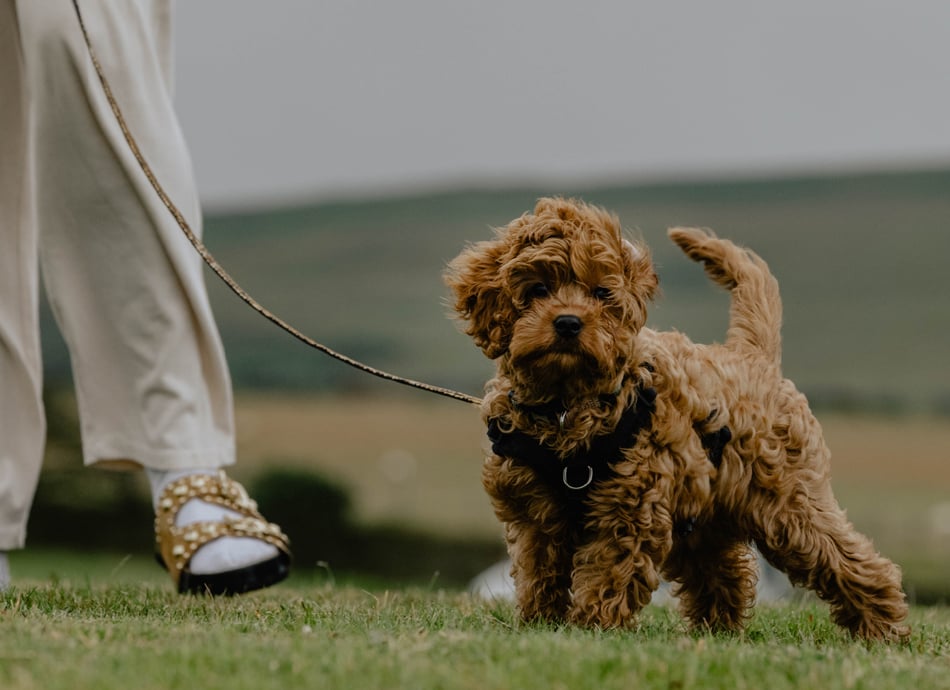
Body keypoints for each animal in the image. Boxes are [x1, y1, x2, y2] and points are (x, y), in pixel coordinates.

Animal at [450, 195, 912, 640]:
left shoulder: (630, 508)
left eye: (601, 293)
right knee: (722, 570)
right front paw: (539, 622)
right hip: (705, 511)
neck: (566, 404)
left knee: (843, 556)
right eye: (538, 288)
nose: (567, 323)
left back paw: (883, 625)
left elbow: (610, 572)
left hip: (789, 503)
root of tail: (751, 357)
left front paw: (593, 627)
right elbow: (539, 570)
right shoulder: (534, 513)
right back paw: (717, 629)